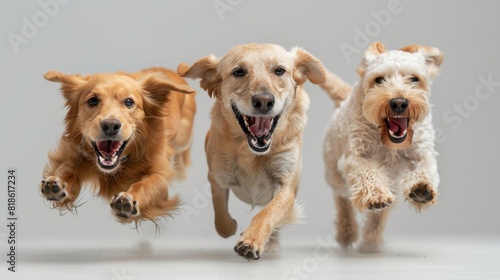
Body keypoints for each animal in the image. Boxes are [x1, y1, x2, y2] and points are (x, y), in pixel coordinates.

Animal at [178, 43, 326, 260]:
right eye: (238, 72)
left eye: (279, 70)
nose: (264, 101)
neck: (253, 153)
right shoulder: (217, 178)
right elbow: (221, 220)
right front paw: (233, 227)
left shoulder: (286, 186)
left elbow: (267, 213)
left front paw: (251, 240)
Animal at [322, 42, 444, 253]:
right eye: (379, 80)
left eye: (414, 78)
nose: (399, 103)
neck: (389, 142)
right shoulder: (355, 156)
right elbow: (367, 172)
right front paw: (376, 195)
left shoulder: (422, 151)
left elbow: (426, 167)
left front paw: (422, 187)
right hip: (335, 174)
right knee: (342, 199)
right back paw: (347, 233)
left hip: (392, 183)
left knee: (380, 214)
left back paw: (371, 241)